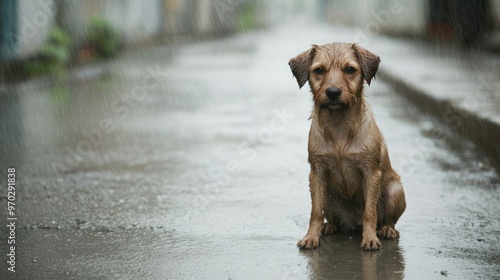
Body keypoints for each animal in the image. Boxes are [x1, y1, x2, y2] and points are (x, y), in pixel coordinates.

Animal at [290, 42, 406, 250]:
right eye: (319, 70)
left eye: (350, 69)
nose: (333, 92)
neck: (339, 127)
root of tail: (354, 223)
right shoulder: (317, 172)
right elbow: (315, 211)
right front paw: (311, 237)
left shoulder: (371, 172)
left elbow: (369, 212)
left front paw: (370, 238)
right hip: (328, 195)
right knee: (330, 217)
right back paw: (328, 227)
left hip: (395, 190)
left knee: (387, 220)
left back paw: (386, 229)